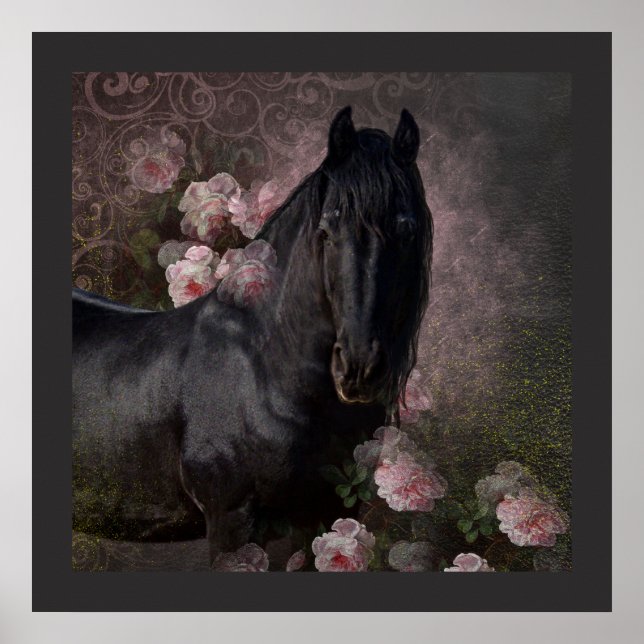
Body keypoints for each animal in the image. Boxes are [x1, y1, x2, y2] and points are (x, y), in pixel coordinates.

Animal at [72, 106, 433, 565]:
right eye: (326, 230)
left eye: (406, 231)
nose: (358, 368)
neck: (266, 370)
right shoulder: (232, 523)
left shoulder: (324, 518)